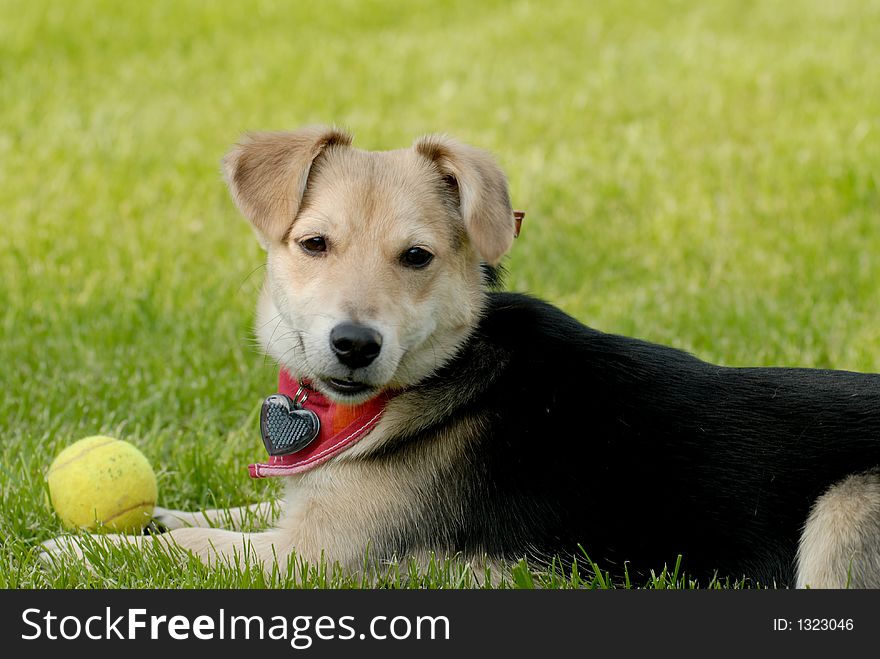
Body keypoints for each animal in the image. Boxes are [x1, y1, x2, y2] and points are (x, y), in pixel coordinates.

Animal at [41, 127, 880, 588]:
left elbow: (192, 550)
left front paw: (79, 552)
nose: (354, 343)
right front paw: (143, 519)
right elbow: (216, 512)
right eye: (314, 244)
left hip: (845, 512)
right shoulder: (311, 507)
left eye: (417, 257)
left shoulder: (311, 556)